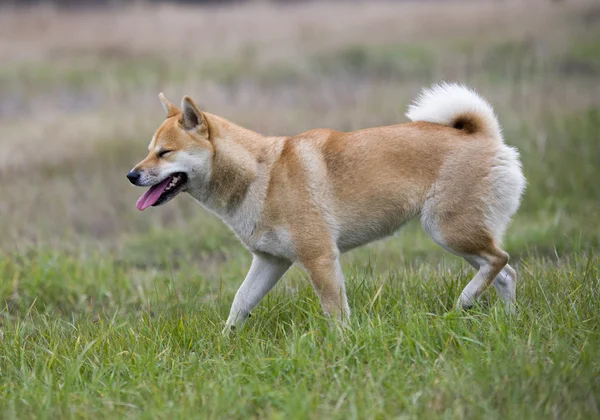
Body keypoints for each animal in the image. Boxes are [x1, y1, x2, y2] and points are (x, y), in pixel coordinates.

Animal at [127, 83, 524, 332]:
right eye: (148, 151)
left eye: (164, 152)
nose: (131, 174)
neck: (261, 174)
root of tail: (482, 135)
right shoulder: (271, 262)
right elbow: (239, 303)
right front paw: (225, 344)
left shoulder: (318, 257)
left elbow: (335, 312)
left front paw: (343, 346)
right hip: (459, 237)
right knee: (505, 272)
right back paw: (507, 320)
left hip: (448, 231)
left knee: (500, 261)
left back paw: (465, 301)